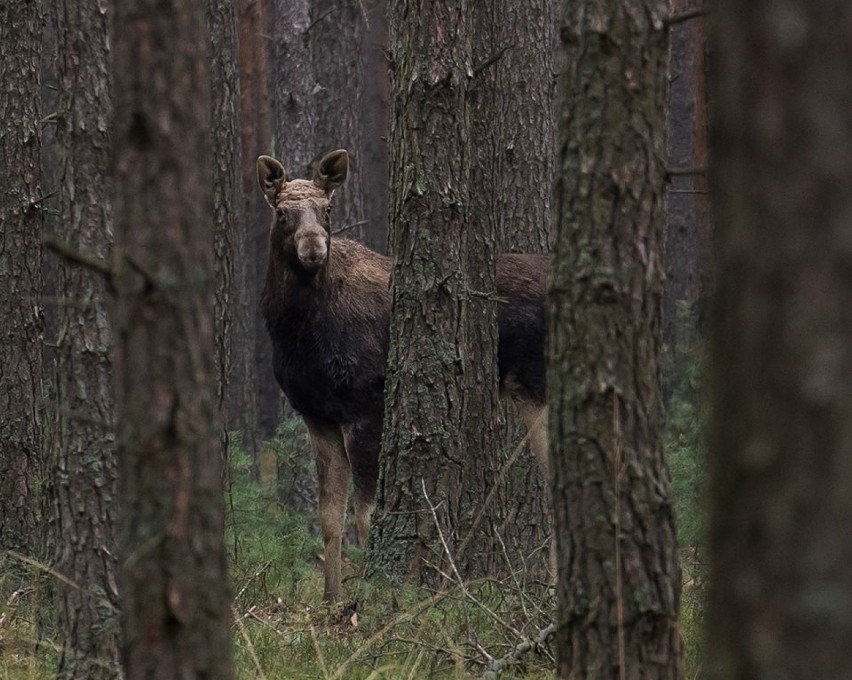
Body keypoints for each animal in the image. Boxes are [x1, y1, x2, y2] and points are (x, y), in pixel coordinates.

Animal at [256, 149, 548, 600]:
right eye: (282, 211)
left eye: (327, 208)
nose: (314, 248)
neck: (295, 331)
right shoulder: (317, 416)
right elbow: (329, 517)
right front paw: (331, 598)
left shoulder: (365, 408)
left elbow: (366, 515)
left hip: (538, 388)